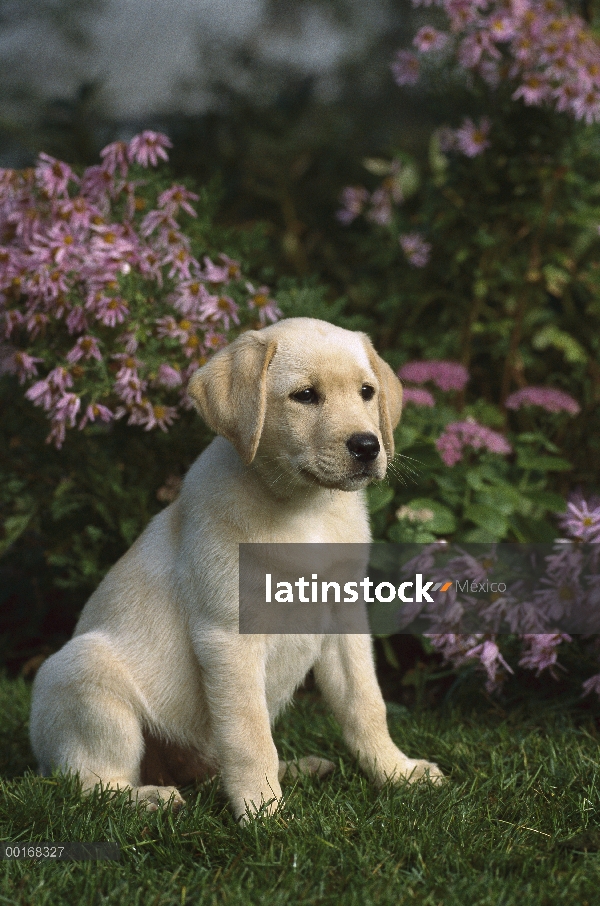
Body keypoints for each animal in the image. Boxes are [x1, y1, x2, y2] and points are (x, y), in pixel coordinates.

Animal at [29, 318, 440, 820]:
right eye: (305, 396)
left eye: (367, 392)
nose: (368, 446)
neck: (305, 510)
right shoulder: (229, 637)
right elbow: (249, 735)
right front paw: (265, 815)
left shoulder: (345, 625)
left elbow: (366, 706)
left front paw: (397, 773)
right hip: (85, 675)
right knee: (90, 783)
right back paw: (152, 797)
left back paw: (297, 768)